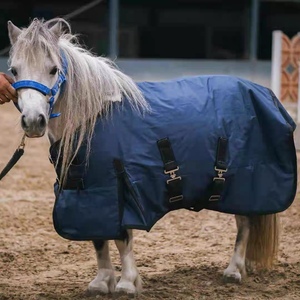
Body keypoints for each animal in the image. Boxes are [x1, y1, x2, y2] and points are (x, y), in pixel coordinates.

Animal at [7, 18, 278, 296]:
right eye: (14, 70)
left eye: (53, 70)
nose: (33, 121)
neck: (93, 119)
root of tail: (258, 90)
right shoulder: (91, 196)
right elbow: (98, 239)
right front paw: (102, 281)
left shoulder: (119, 188)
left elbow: (122, 239)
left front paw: (127, 283)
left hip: (242, 187)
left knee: (244, 223)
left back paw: (233, 270)